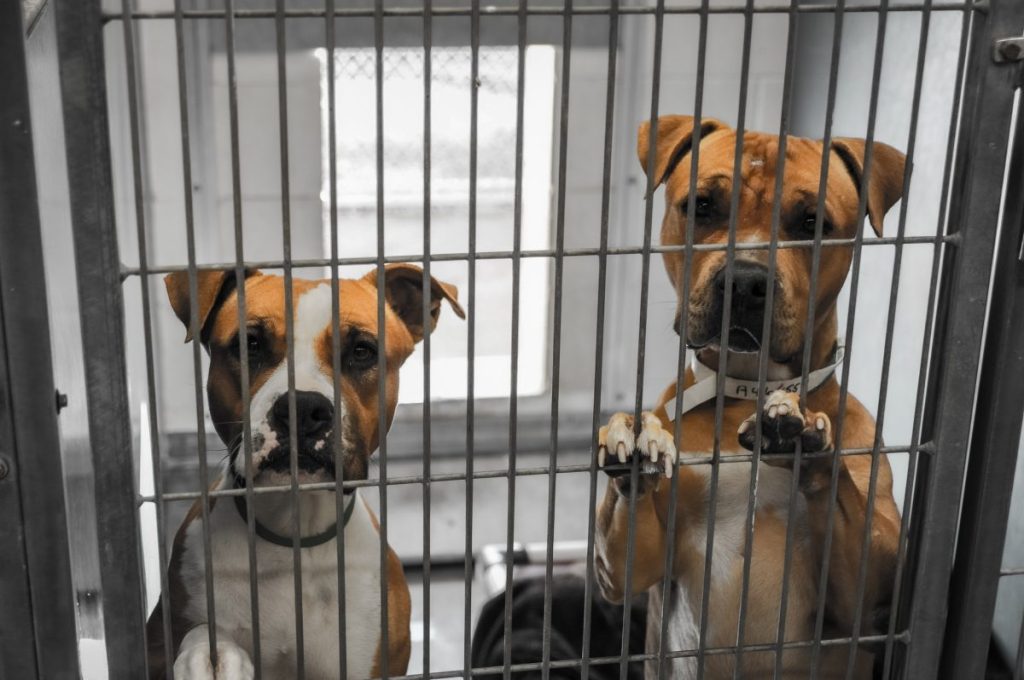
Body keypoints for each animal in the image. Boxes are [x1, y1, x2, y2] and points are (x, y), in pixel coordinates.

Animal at [146, 262, 466, 675]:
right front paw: (210, 658)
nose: (301, 407)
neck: (293, 530)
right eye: (250, 345)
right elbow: (201, 634)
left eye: (362, 351)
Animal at [593, 116, 905, 680]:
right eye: (702, 205)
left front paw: (800, 434)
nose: (745, 280)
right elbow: (625, 541)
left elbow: (845, 501)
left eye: (812, 221)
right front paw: (633, 438)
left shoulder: (872, 600)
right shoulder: (628, 569)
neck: (744, 390)